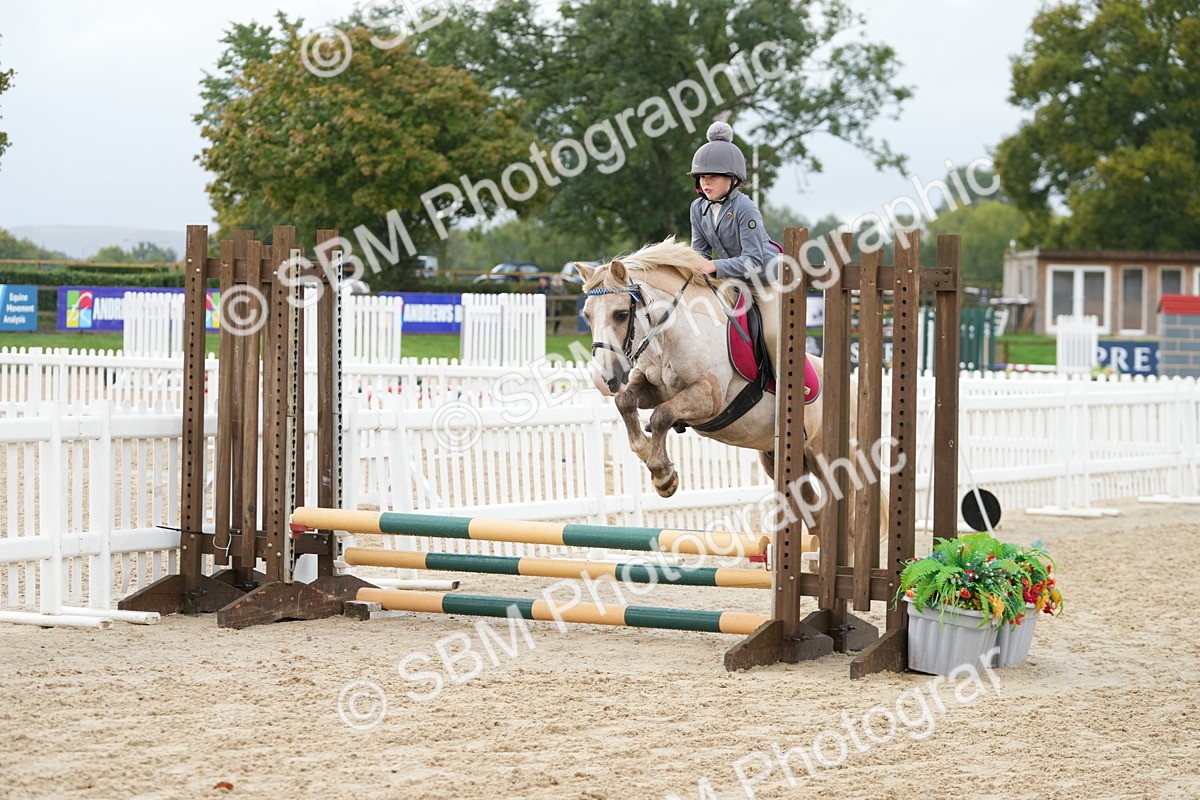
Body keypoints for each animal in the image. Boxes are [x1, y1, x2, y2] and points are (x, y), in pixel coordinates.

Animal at [577, 237, 888, 543]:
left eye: (620, 315)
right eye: (587, 316)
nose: (602, 380)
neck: (673, 333)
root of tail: (854, 388)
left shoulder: (710, 396)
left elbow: (661, 415)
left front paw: (664, 476)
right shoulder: (655, 388)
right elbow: (626, 401)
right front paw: (647, 455)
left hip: (832, 459)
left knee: (849, 517)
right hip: (783, 459)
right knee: (815, 514)